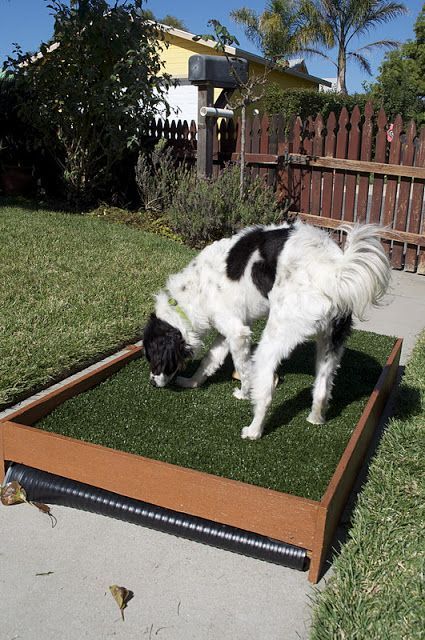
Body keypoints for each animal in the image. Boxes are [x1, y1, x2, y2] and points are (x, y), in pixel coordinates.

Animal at [143, 220, 390, 440]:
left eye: (154, 359)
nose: (152, 384)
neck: (194, 291)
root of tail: (330, 271)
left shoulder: (238, 334)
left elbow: (243, 370)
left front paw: (243, 394)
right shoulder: (226, 333)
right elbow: (208, 361)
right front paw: (192, 382)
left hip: (271, 342)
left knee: (267, 392)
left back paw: (254, 430)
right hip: (330, 345)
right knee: (322, 389)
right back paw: (315, 418)